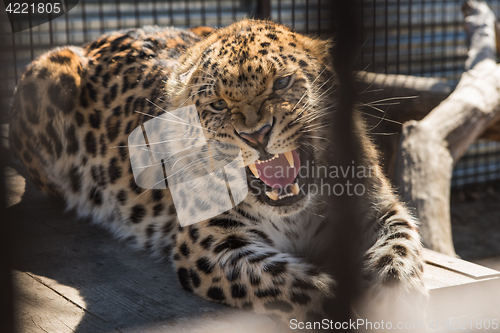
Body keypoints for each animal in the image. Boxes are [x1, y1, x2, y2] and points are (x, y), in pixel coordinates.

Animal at [8, 19, 426, 322]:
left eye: (282, 83)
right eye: (218, 105)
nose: (256, 134)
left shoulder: (378, 208)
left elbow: (401, 251)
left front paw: (399, 298)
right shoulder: (212, 244)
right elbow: (300, 284)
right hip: (48, 72)